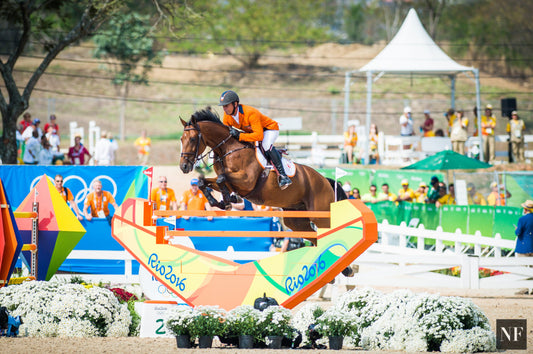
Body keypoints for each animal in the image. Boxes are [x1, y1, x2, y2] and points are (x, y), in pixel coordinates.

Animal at [179, 108, 344, 235]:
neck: (227, 149)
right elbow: (205, 181)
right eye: (181, 139)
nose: (183, 167)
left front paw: (227, 200)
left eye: (192, 139)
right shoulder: (232, 181)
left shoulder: (246, 181)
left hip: (320, 215)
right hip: (296, 220)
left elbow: (221, 179)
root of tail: (325, 180)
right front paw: (220, 201)